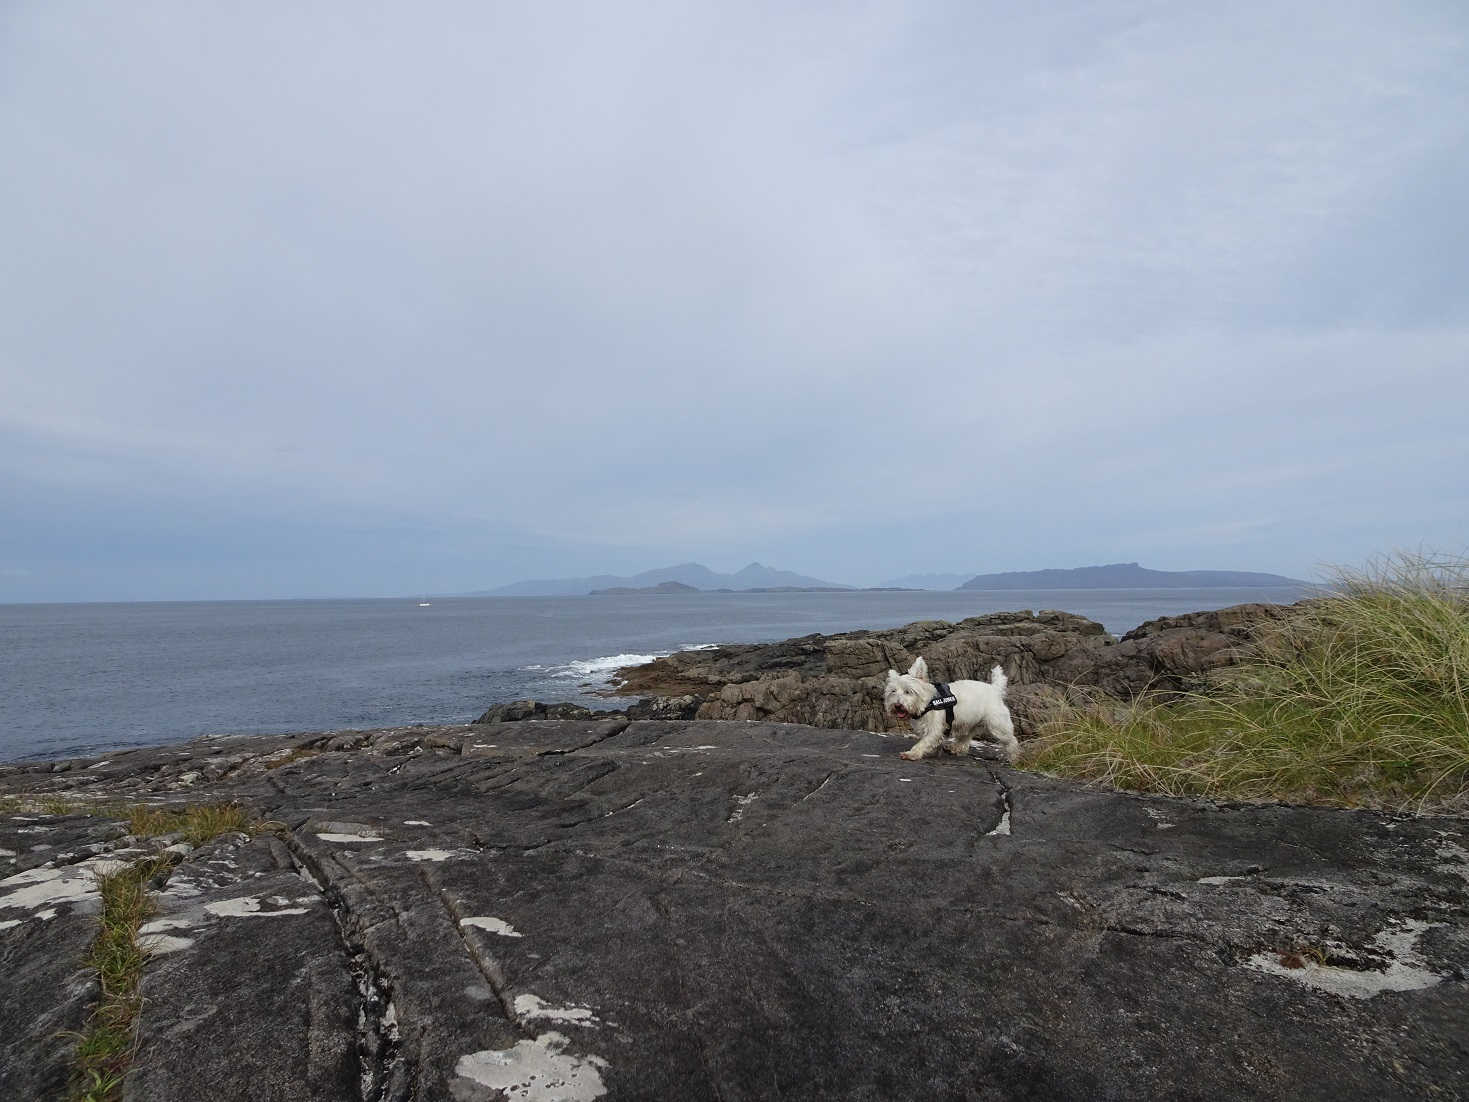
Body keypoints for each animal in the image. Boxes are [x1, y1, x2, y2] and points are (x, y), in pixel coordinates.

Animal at [881, 661, 1022, 764]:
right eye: (893, 691)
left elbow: (924, 742)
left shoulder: (935, 728)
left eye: (908, 691)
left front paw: (911, 754)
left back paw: (1012, 757)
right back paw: (955, 748)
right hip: (969, 722)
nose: (897, 705)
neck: (927, 703)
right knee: (965, 738)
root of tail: (995, 689)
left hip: (997, 725)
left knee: (1011, 740)